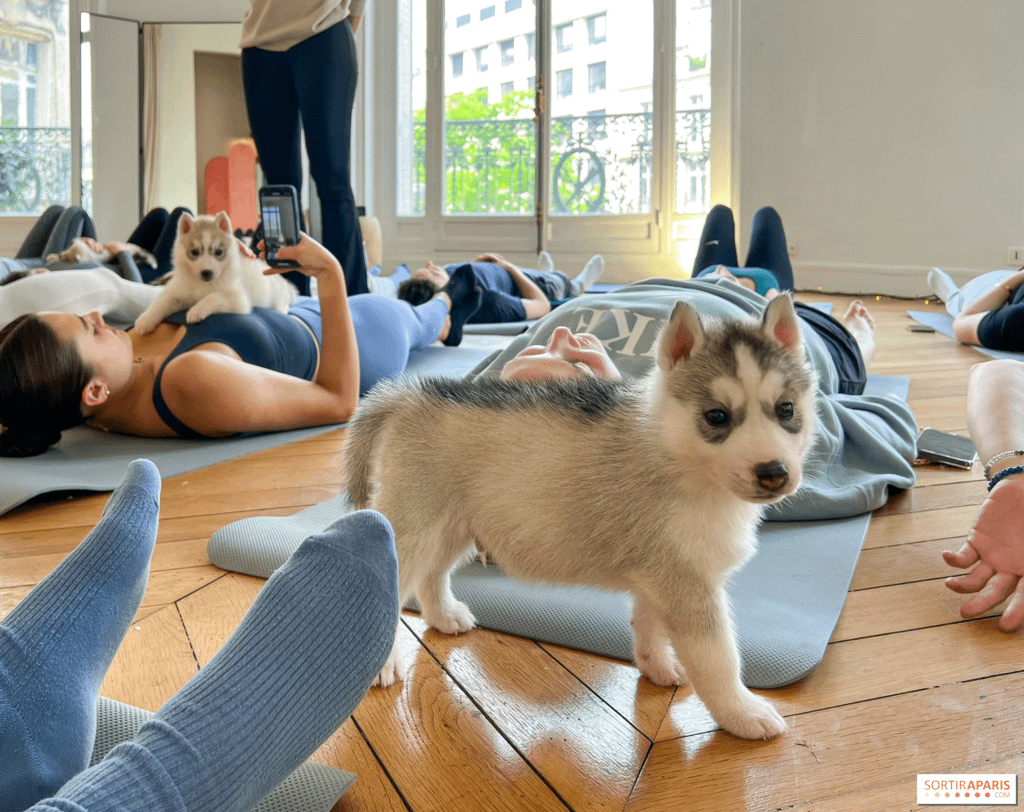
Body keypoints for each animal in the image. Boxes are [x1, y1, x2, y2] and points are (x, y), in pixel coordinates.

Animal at [134, 211, 299, 335]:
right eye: (194, 252)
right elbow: (162, 302)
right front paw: (145, 320)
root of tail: (286, 285)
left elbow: (214, 296)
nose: (207, 272)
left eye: (218, 252)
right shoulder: (179, 293)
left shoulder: (239, 299)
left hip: (278, 302)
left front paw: (196, 310)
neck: (202, 285)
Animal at [344, 294, 815, 737]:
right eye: (716, 416)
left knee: (432, 573)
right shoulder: (688, 585)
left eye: (787, 409)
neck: (673, 452)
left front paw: (658, 668)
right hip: (416, 527)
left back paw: (444, 616)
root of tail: (409, 394)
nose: (774, 473)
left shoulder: (658, 574)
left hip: (454, 526)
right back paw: (382, 663)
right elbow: (719, 659)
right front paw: (742, 713)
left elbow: (648, 627)